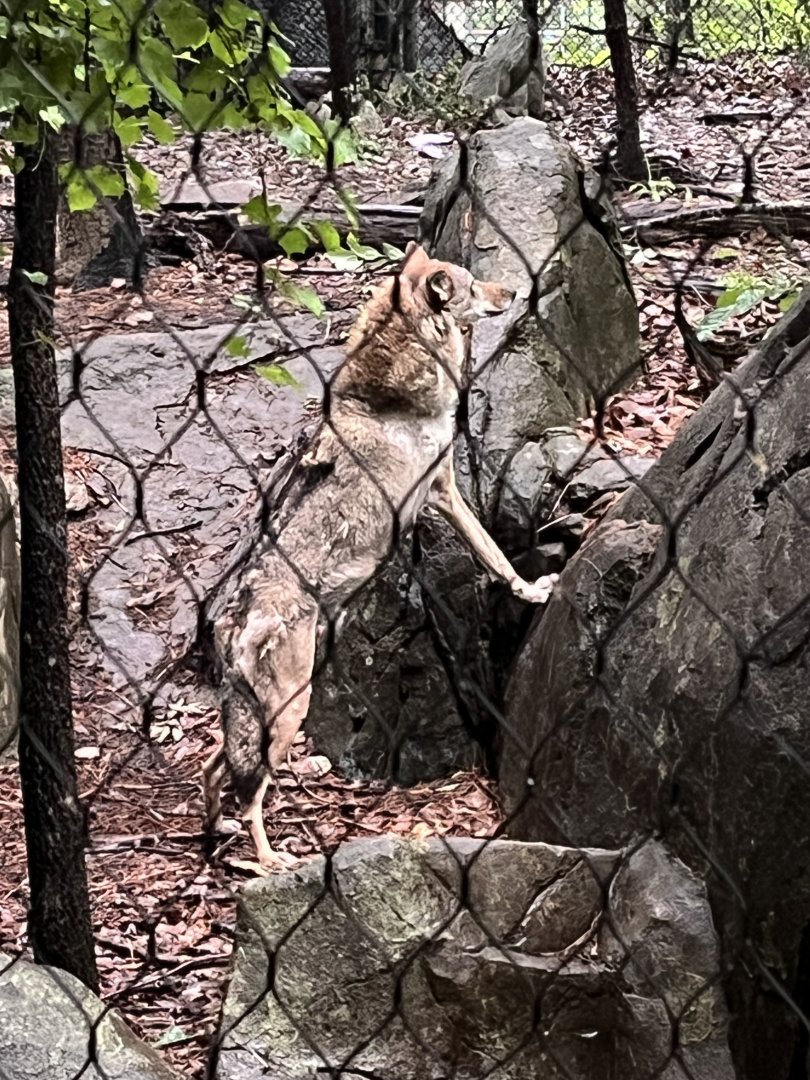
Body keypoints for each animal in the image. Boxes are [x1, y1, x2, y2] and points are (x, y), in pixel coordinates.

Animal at [203, 242, 558, 869]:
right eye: (470, 285)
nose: (513, 293)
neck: (395, 385)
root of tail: (235, 621)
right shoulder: (444, 491)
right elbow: (496, 556)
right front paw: (534, 589)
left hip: (256, 719)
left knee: (211, 767)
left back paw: (214, 828)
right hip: (288, 713)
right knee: (250, 794)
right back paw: (270, 860)